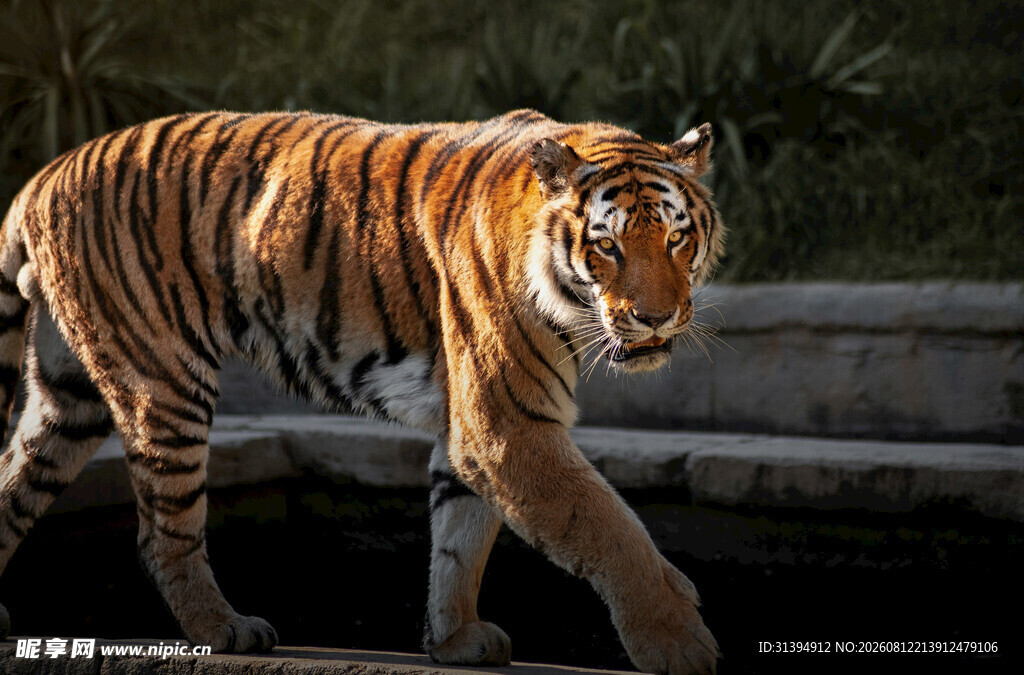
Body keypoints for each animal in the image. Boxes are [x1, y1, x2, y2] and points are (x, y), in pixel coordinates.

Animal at [0, 109, 723, 674]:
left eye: (676, 237)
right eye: (607, 246)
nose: (657, 318)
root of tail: (43, 174)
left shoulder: (474, 432)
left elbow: (460, 538)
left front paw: (454, 638)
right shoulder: (507, 426)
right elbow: (610, 527)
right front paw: (679, 643)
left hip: (69, 398)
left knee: (14, 481)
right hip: (163, 380)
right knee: (162, 532)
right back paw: (225, 630)